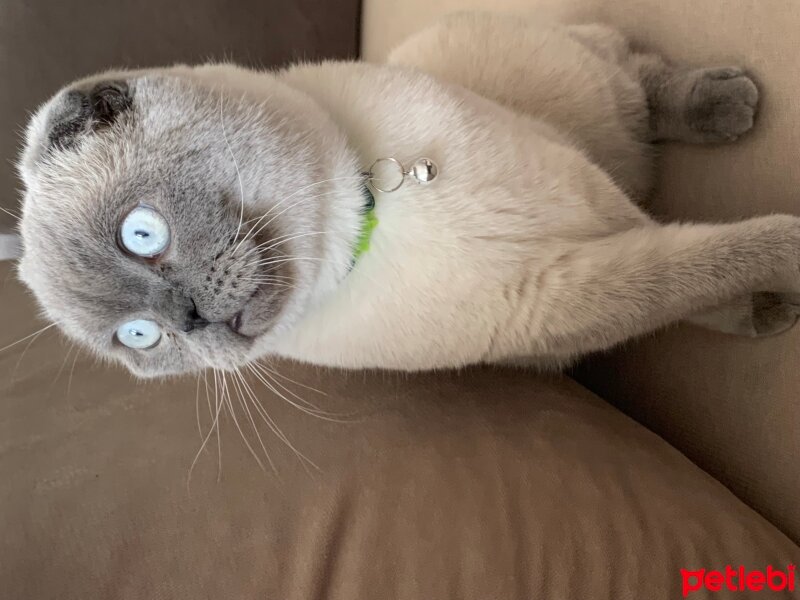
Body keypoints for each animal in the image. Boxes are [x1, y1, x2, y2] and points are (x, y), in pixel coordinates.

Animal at [14, 14, 800, 378]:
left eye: (141, 234)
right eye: (140, 339)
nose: (190, 320)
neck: (369, 221)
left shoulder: (588, 205)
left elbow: (705, 258)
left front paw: (772, 296)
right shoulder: (562, 299)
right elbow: (689, 275)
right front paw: (773, 307)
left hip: (591, 88)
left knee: (643, 81)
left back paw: (730, 103)